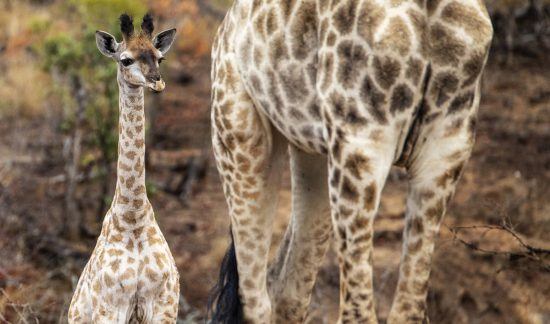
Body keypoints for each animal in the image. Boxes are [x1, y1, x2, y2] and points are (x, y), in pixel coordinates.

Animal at [66, 13, 179, 322]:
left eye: (160, 58)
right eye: (125, 60)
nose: (157, 82)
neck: (133, 218)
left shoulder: (166, 303)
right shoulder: (109, 306)